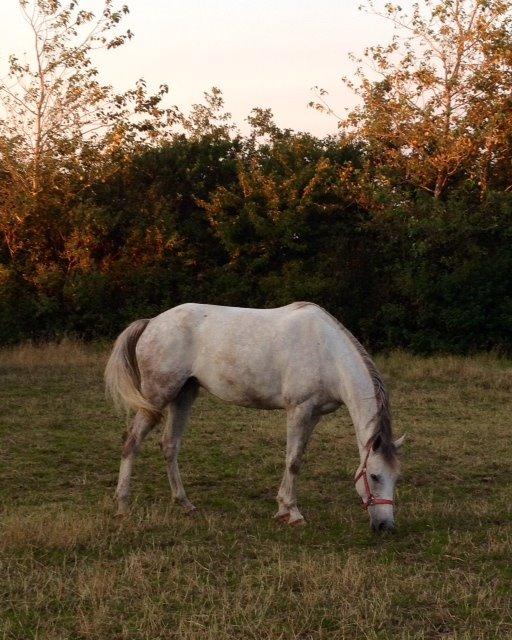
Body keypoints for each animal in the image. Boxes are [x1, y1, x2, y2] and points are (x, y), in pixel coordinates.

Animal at [106, 302, 404, 532]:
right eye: (374, 476)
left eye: (396, 477)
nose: (385, 527)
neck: (327, 353)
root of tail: (152, 323)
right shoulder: (299, 410)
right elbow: (293, 461)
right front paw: (292, 513)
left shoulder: (314, 415)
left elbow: (297, 458)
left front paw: (283, 509)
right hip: (157, 398)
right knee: (131, 442)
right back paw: (123, 505)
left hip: (184, 395)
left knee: (169, 446)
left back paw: (185, 503)